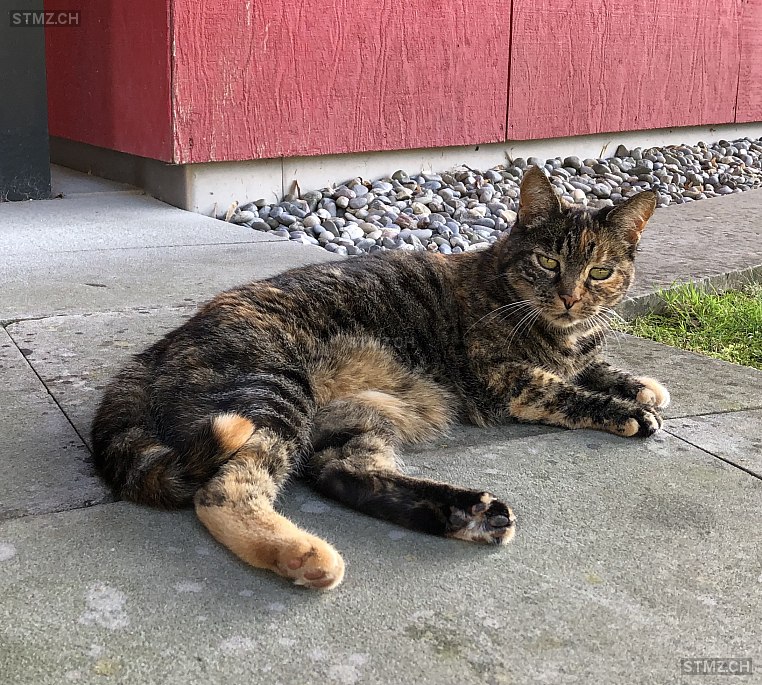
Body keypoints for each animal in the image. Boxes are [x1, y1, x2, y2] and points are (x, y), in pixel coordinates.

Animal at [92, 166, 668, 588]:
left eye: (600, 272)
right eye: (548, 261)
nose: (570, 297)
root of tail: (156, 349)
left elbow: (599, 367)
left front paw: (643, 385)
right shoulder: (505, 380)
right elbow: (565, 390)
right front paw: (631, 411)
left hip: (350, 422)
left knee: (344, 474)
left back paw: (468, 513)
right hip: (273, 394)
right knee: (224, 492)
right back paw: (305, 555)